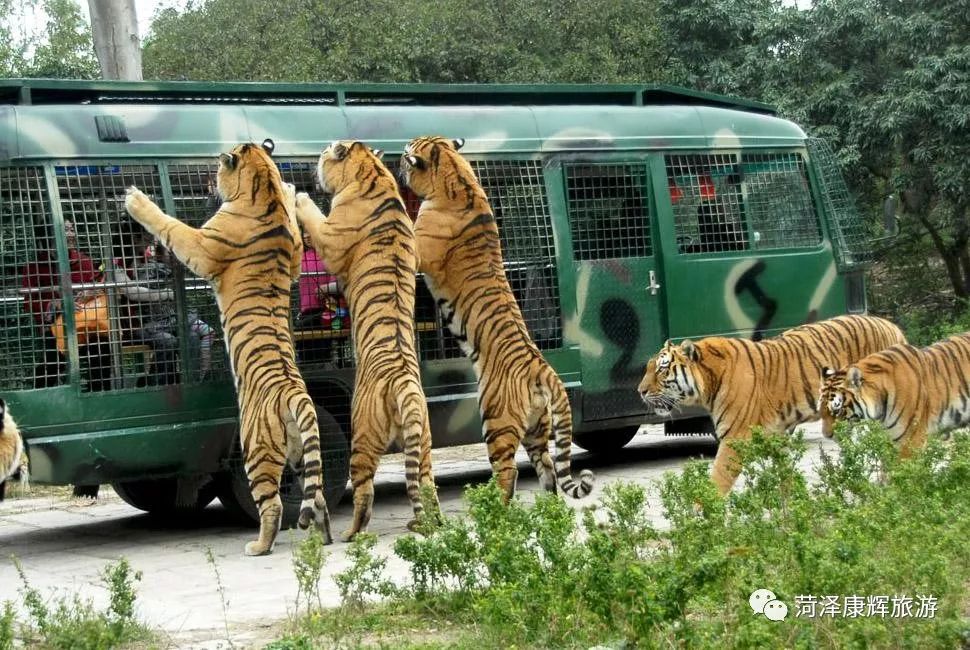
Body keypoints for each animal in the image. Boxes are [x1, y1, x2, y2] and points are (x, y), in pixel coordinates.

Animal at [125, 139, 330, 556]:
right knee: (318, 497)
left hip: (255, 450)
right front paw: (292, 191)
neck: (263, 192)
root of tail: (295, 395)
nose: (209, 179)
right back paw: (328, 537)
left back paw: (258, 546)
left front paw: (136, 200)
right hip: (304, 451)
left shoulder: (202, 245)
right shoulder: (295, 260)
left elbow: (171, 226)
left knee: (273, 504)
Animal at [292, 139, 434, 540]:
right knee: (424, 484)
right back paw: (426, 523)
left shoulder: (329, 237)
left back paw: (350, 533)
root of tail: (404, 384)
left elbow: (313, 216)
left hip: (362, 433)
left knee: (365, 492)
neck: (372, 172)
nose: (311, 169)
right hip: (424, 438)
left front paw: (297, 194)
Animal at [398, 135, 592, 502]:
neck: (456, 174)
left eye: (405, 155)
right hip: (536, 427)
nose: (399, 167)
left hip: (495, 419)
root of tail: (544, 370)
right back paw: (546, 507)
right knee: (547, 468)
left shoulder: (417, 251)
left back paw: (497, 507)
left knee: (509, 470)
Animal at [640, 312, 904, 492]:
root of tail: (892, 326)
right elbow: (786, 478)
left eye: (662, 369)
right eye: (648, 367)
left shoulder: (734, 439)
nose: (640, 391)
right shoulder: (777, 436)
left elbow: (716, 481)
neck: (709, 381)